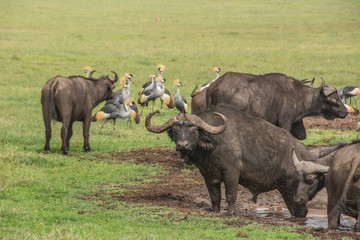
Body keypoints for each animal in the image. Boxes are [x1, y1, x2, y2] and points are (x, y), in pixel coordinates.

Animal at [144, 105, 348, 218]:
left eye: (194, 130)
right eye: (175, 130)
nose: (182, 145)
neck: (212, 145)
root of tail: (305, 154)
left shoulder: (232, 172)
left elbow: (231, 195)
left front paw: (231, 213)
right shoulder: (209, 176)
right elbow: (214, 197)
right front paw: (216, 211)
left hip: (293, 191)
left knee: (301, 211)